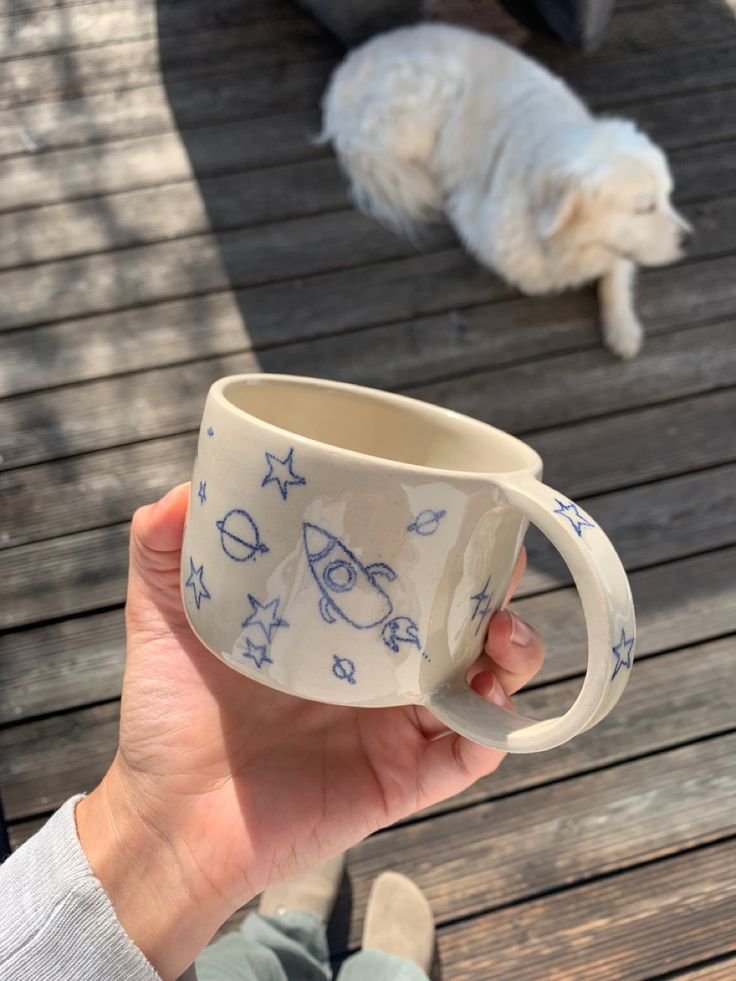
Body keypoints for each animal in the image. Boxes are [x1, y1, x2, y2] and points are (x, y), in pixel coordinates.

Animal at [322, 23, 688, 358]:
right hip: (431, 97)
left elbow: (615, 273)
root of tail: (354, 58)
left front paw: (622, 328)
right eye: (644, 206)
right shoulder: (477, 223)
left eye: (668, 197)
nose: (689, 239)